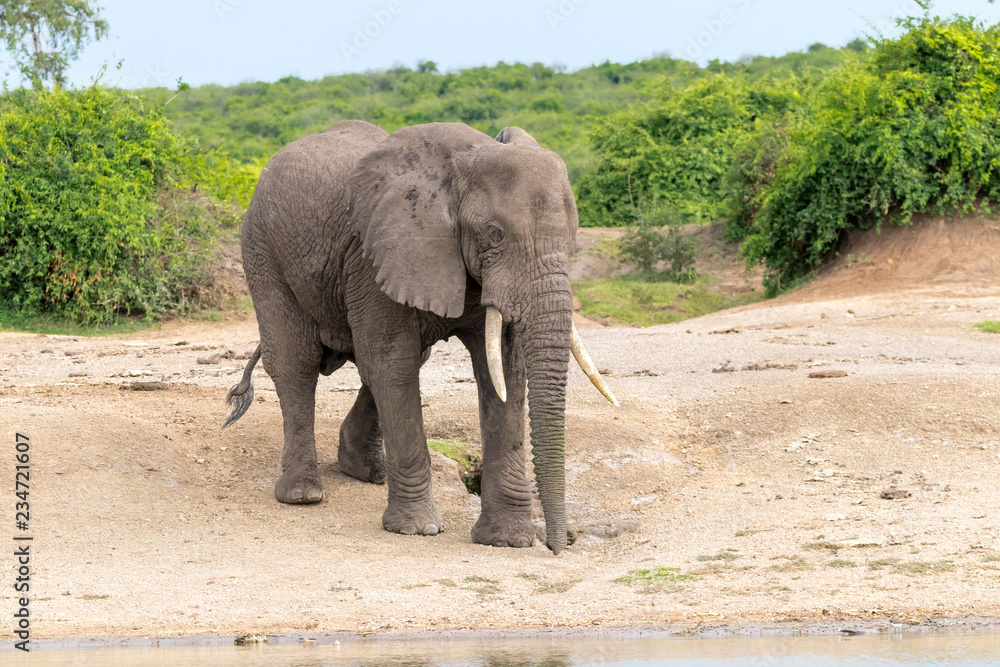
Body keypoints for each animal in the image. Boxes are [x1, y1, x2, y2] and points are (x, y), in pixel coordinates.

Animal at [226, 120, 612, 552]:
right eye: (494, 233)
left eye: (572, 237)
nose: (557, 546)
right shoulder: (375, 255)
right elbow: (393, 362)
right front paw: (417, 529)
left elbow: (504, 370)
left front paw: (508, 541)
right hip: (261, 249)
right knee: (296, 362)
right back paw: (302, 493)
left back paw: (367, 472)